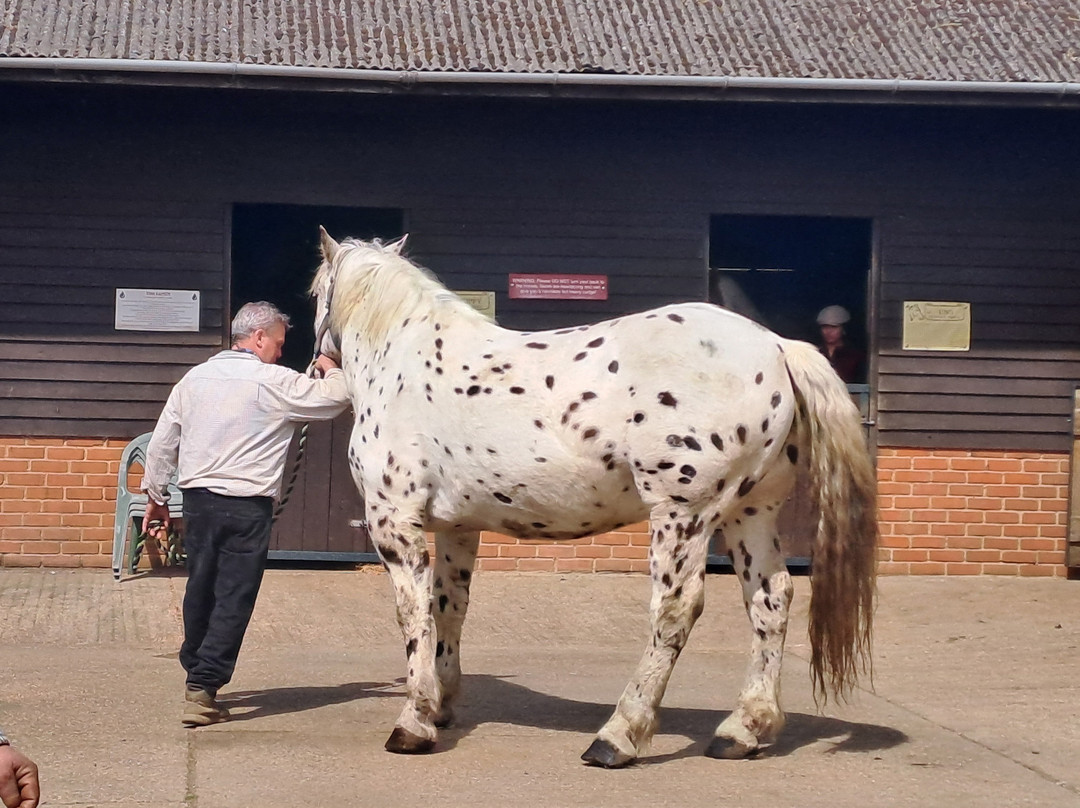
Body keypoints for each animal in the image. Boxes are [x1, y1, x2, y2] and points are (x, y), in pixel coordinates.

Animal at [310, 227, 878, 768]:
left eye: (315, 291)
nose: (316, 367)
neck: (404, 359)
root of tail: (778, 347)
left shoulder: (393, 520)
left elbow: (413, 613)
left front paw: (414, 721)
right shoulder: (458, 527)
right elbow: (450, 608)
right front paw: (443, 703)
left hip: (683, 514)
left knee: (675, 610)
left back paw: (617, 737)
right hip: (749, 512)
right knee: (770, 600)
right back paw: (743, 730)